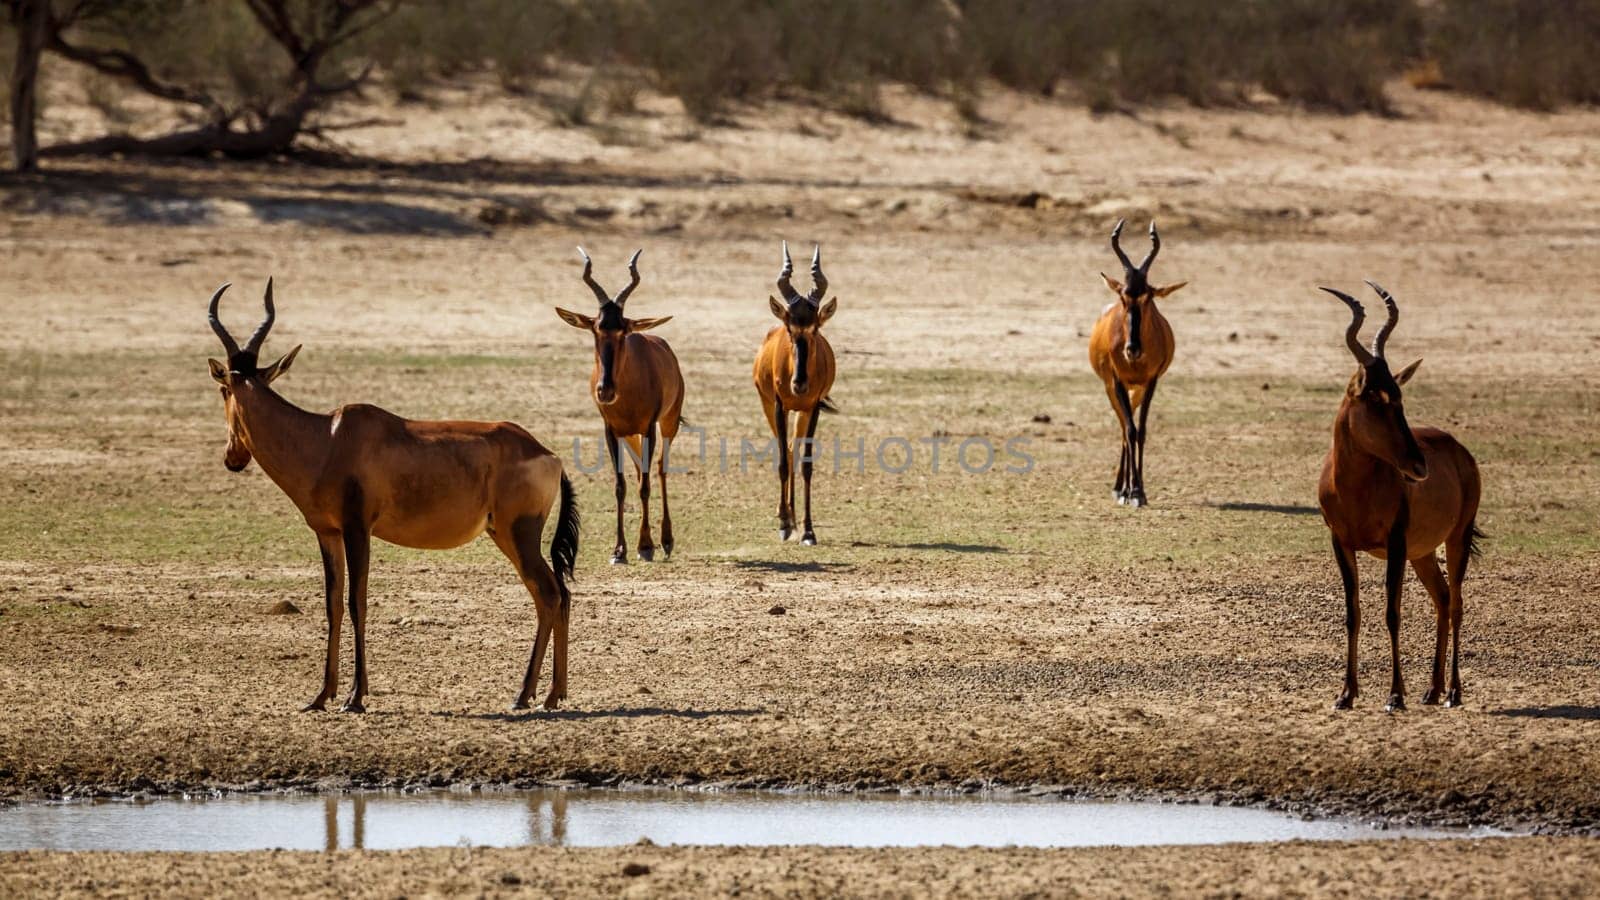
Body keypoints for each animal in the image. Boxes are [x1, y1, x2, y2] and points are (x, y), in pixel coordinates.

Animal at [208, 280, 582, 707]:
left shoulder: (358, 529)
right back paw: (550, 693)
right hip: (503, 534)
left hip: (518, 533)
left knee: (550, 594)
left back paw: (527, 695)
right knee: (556, 594)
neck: (327, 438)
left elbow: (357, 602)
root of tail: (548, 454)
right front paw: (321, 695)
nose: (233, 458)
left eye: (224, 389)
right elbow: (333, 605)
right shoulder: (328, 533)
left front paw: (355, 697)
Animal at [556, 245, 681, 563]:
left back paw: (666, 540)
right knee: (638, 472)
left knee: (660, 469)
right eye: (595, 328)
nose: (605, 390)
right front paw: (619, 550)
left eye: (624, 330)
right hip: (630, 435)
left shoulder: (649, 428)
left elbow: (646, 485)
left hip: (668, 424)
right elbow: (621, 486)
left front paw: (645, 546)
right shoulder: (610, 431)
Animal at [755, 241, 838, 544]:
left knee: (793, 448)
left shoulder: (813, 408)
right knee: (786, 452)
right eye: (790, 329)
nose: (799, 385)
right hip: (769, 405)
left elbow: (807, 465)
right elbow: (781, 461)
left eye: (815, 329)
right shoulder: (779, 406)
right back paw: (785, 518)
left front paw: (808, 531)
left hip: (801, 412)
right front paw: (784, 524)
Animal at [1094, 217, 1184, 506]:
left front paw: (1139, 492)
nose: (1132, 350)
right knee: (1124, 427)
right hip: (1112, 387)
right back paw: (1119, 488)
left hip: (1137, 388)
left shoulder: (1151, 382)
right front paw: (1130, 492)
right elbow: (1130, 430)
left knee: (1129, 425)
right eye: (1123, 296)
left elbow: (1141, 430)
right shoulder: (1118, 381)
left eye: (1148, 297)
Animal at [1318, 280, 1478, 707]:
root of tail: (1459, 450)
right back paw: (1432, 689)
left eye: (1399, 395)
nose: (1418, 467)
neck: (1355, 489)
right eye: (1374, 397)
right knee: (1442, 599)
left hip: (1455, 539)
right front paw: (1346, 694)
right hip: (1422, 552)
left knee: (1457, 602)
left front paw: (1394, 696)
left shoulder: (1395, 543)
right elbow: (1352, 612)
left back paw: (1453, 691)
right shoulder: (1341, 543)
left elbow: (1392, 612)